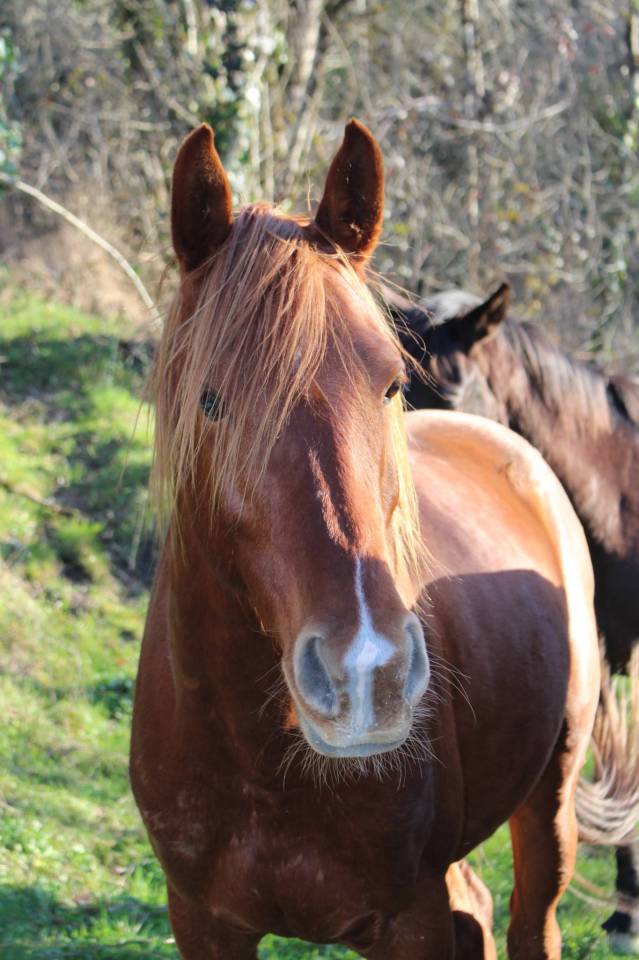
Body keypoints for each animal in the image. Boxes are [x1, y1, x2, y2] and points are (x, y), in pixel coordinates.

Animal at [130, 121, 600, 959]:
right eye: (210, 400)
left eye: (389, 384)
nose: (365, 675)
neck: (262, 766)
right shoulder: (200, 921)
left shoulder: (406, 921)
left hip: (550, 803)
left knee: (529, 918)